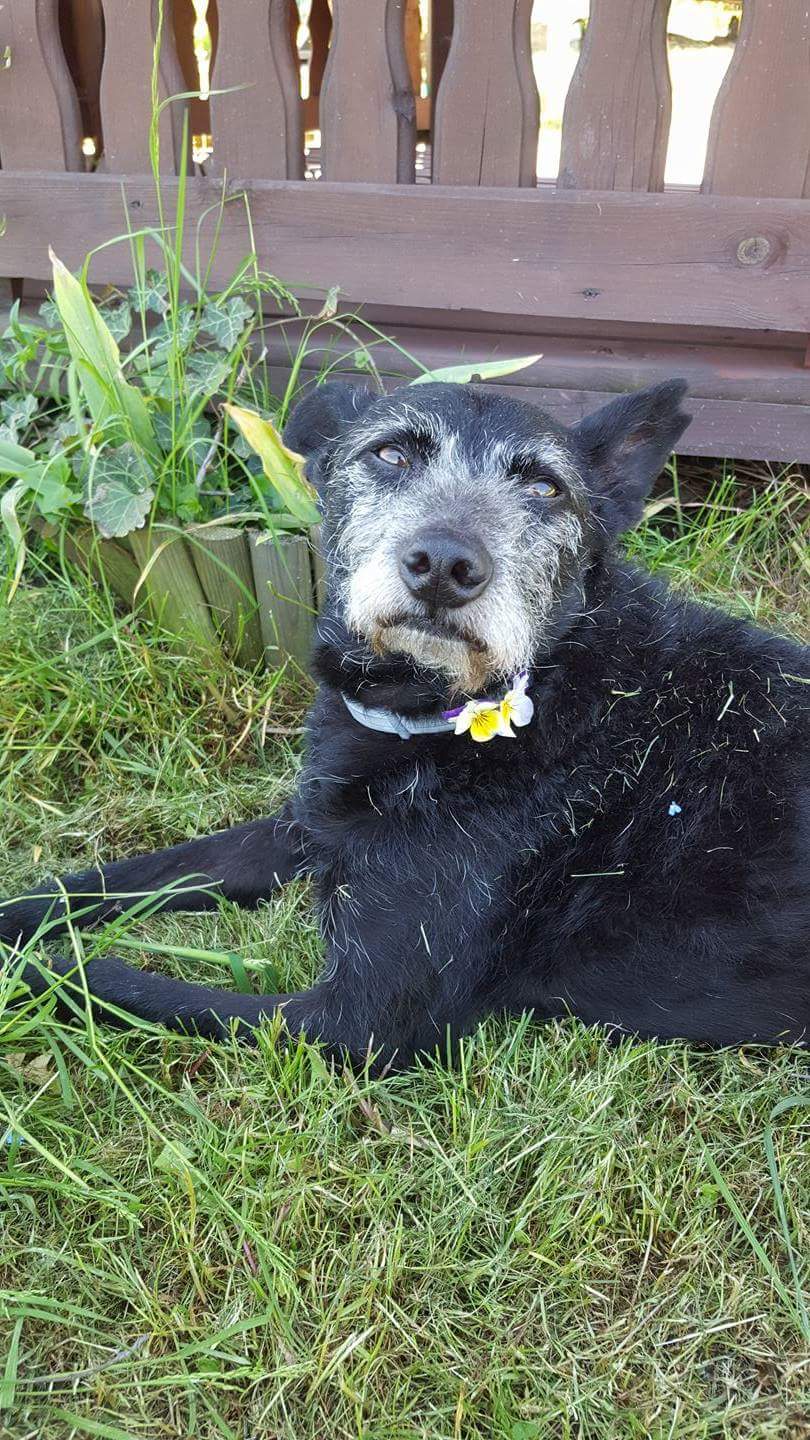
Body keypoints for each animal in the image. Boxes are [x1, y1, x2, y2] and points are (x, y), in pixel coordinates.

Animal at [2, 380, 808, 1066]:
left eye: (545, 487)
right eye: (391, 453)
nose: (446, 564)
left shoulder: (358, 1018)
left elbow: (105, 979)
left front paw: (28, 970)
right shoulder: (305, 828)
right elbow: (115, 878)